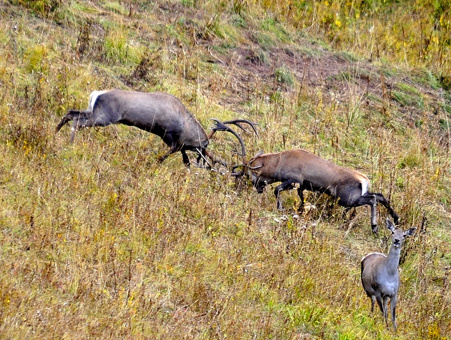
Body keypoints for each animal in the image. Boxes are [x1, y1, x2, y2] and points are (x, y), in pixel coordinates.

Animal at [55, 88, 258, 167]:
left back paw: (54, 133)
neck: (185, 124)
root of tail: (96, 94)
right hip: (102, 118)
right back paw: (69, 143)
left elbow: (182, 158)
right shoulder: (169, 137)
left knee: (70, 113)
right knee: (76, 121)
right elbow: (167, 154)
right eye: (205, 146)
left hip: (92, 112)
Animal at [233, 149, 400, 234]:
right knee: (380, 196)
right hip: (358, 196)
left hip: (348, 199)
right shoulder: (302, 186)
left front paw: (280, 209)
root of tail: (364, 179)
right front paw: (300, 211)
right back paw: (396, 219)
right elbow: (302, 199)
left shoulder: (294, 180)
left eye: (250, 173)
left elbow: (277, 189)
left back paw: (375, 227)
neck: (279, 162)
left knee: (373, 200)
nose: (258, 189)